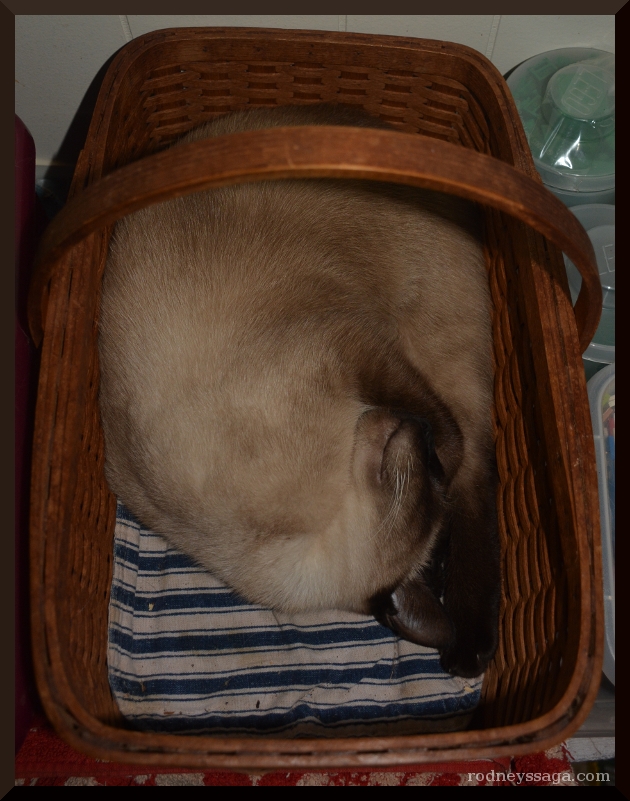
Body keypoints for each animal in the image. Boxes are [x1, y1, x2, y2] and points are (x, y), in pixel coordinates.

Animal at [98, 103, 501, 679]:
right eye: (421, 466)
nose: (420, 432)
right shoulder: (350, 354)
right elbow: (449, 442)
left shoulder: (349, 348)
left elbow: (455, 442)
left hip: (439, 340)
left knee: (477, 472)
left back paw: (469, 648)